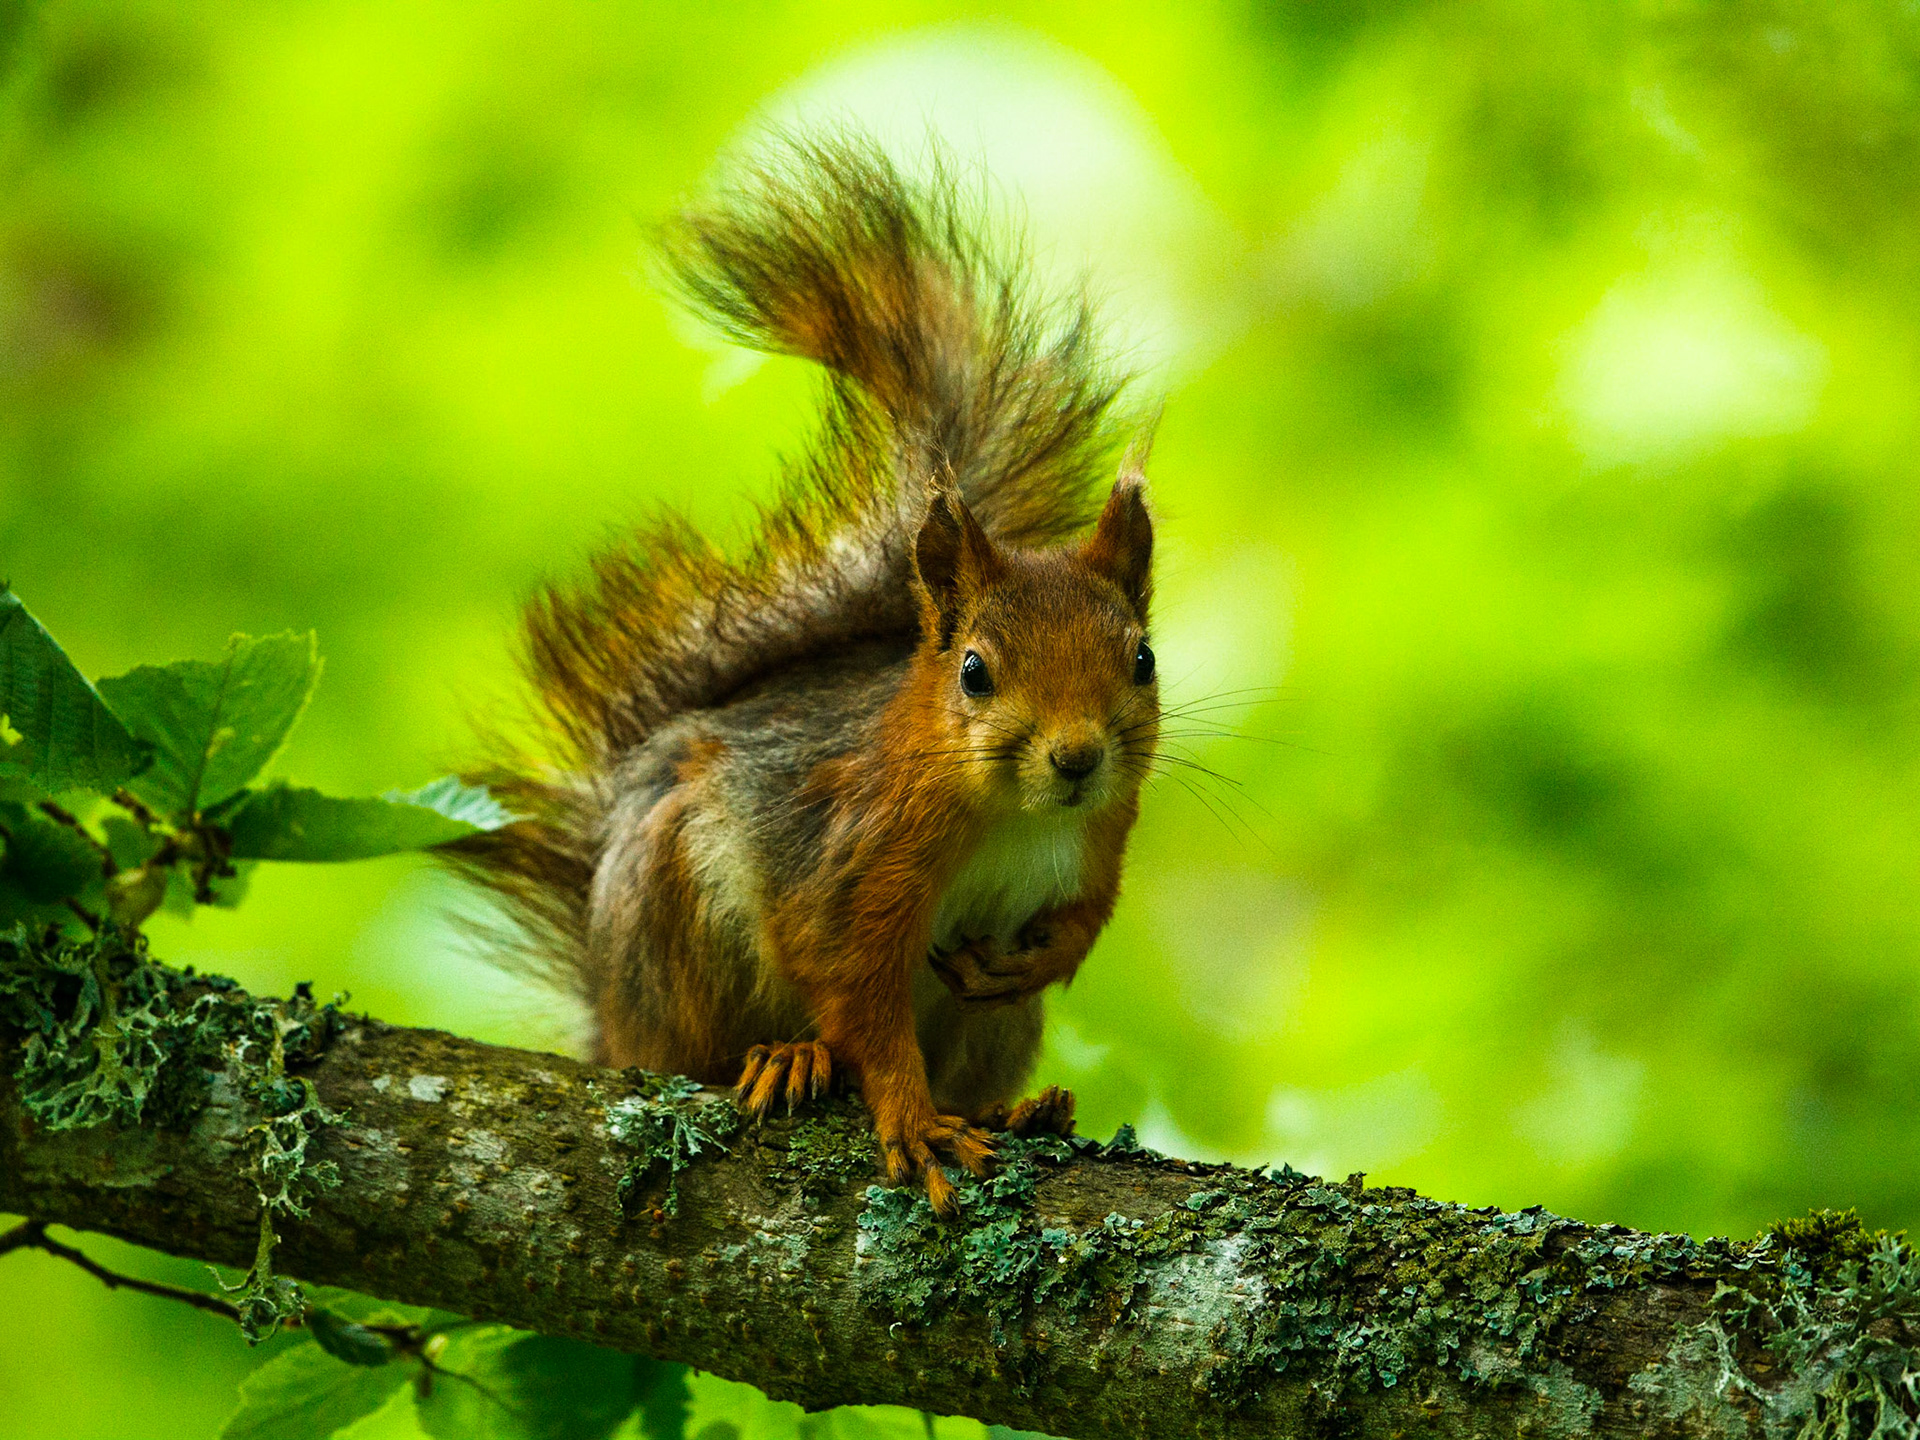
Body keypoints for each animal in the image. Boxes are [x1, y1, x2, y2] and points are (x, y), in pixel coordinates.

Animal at [451, 135, 1160, 1215]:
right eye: (974, 671)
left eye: (1143, 660)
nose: (1078, 759)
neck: (1016, 820)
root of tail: (609, 1026)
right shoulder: (852, 864)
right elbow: (858, 993)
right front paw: (909, 1115)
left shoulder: (1098, 847)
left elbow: (1082, 923)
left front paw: (1038, 957)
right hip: (678, 913)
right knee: (707, 1057)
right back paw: (788, 1058)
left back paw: (1022, 1110)